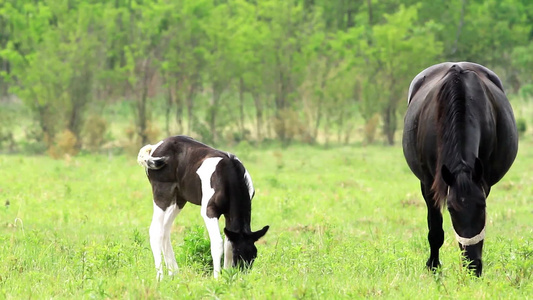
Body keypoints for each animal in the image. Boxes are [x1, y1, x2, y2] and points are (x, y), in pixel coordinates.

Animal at [138, 136, 270, 278]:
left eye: (254, 255)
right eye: (237, 253)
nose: (242, 276)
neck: (228, 175)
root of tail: (155, 146)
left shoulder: (229, 214)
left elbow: (228, 243)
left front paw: (227, 275)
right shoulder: (209, 211)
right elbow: (218, 243)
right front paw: (217, 278)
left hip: (179, 199)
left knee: (165, 229)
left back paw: (174, 273)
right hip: (162, 193)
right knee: (155, 230)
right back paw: (160, 277)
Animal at [404, 62, 516, 276]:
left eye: (482, 206)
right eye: (451, 209)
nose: (473, 266)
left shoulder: (483, 183)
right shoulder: (428, 184)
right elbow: (435, 230)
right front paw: (433, 267)